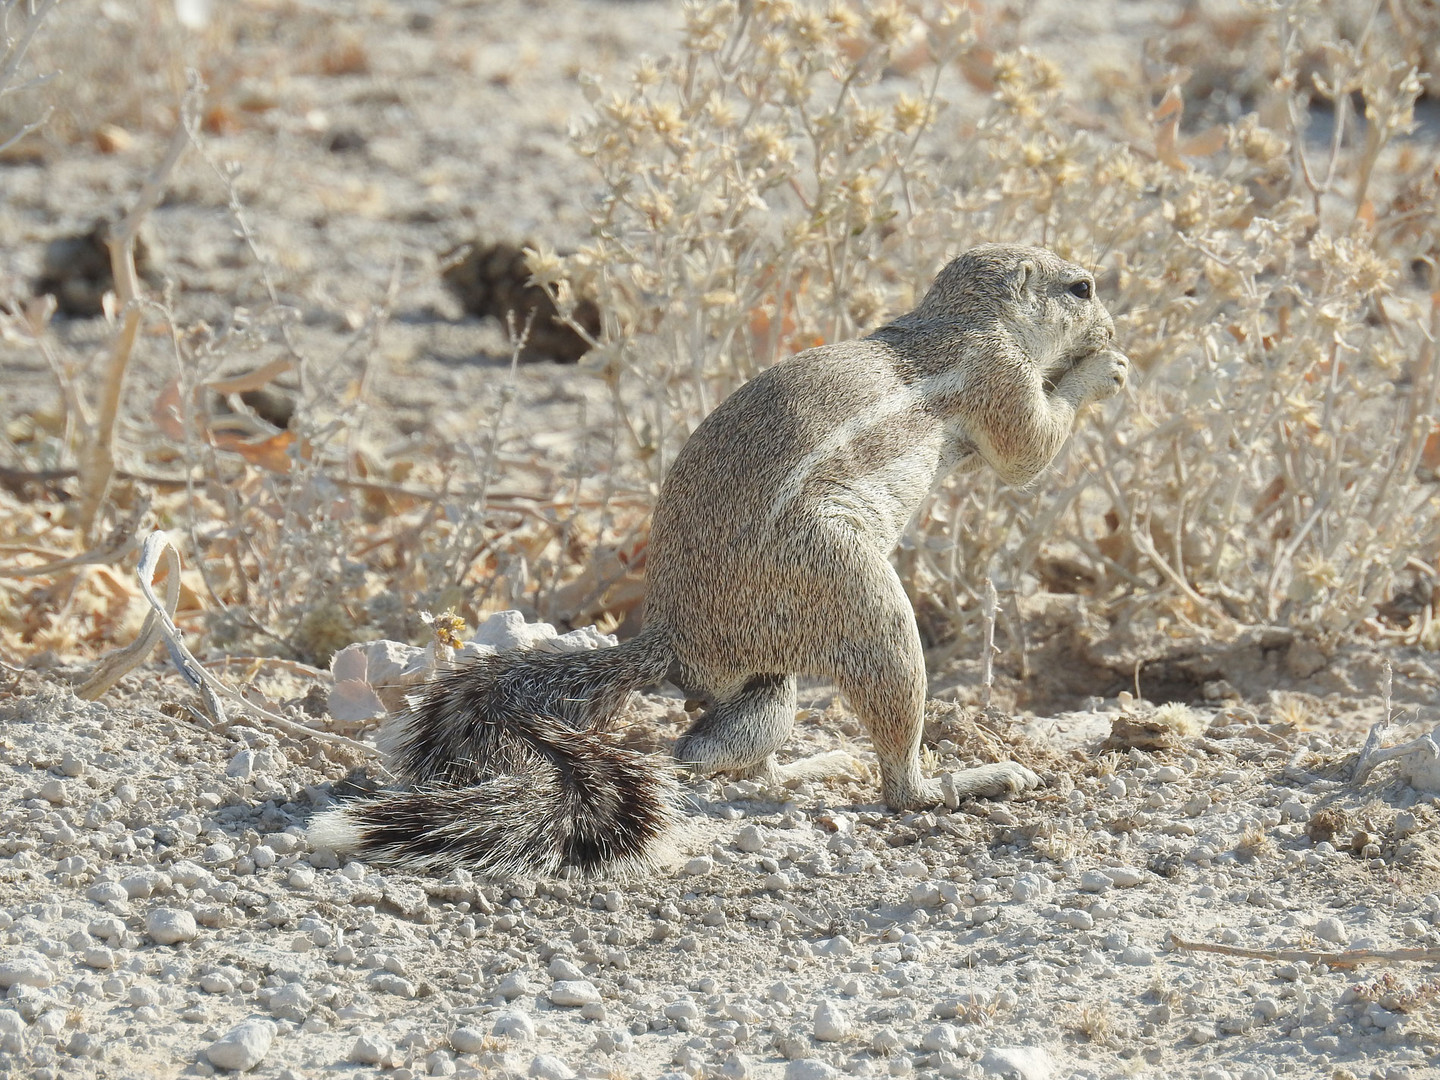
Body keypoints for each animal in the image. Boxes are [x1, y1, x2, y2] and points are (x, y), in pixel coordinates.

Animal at [312, 244, 1123, 881]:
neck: (959, 319)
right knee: (887, 774)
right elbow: (1029, 452)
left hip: (769, 674)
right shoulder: (1000, 375)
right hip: (857, 595)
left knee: (712, 747)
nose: (1114, 325)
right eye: (1081, 287)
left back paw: (808, 767)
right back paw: (961, 780)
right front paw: (1102, 369)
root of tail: (668, 637)